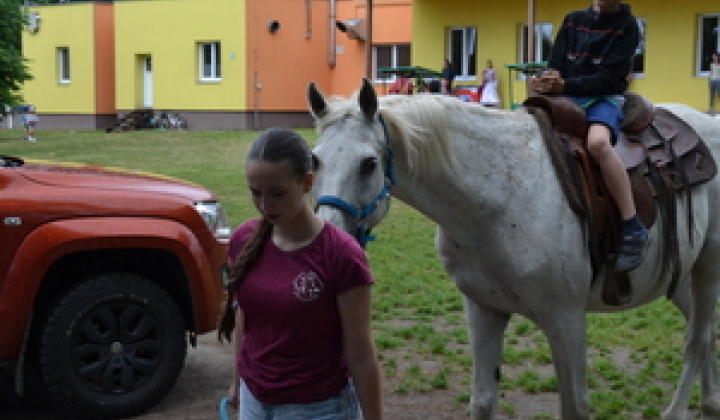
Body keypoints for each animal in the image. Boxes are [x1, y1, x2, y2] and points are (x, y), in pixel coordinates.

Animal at [310, 79, 720, 420]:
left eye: (369, 163)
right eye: (314, 160)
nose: (331, 237)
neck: (500, 196)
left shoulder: (566, 319)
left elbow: (575, 406)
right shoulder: (483, 310)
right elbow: (483, 402)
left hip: (707, 268)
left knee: (697, 340)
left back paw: (677, 411)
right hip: (680, 277)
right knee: (705, 332)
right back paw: (710, 403)